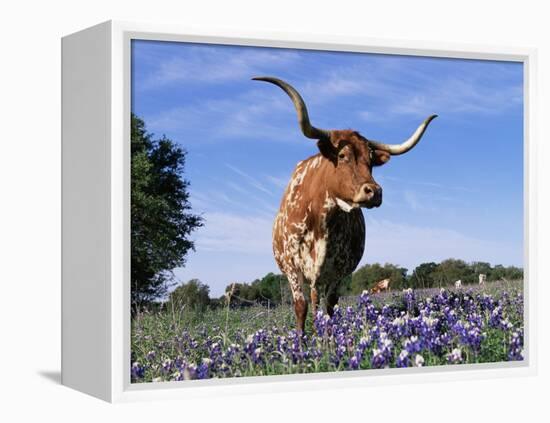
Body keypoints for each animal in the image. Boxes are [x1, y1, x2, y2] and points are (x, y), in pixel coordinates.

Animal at [254, 77, 440, 334]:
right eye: (342, 155)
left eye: (371, 160)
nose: (374, 192)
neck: (322, 219)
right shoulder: (293, 269)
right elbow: (301, 308)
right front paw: (301, 343)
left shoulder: (338, 271)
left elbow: (330, 307)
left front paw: (328, 339)